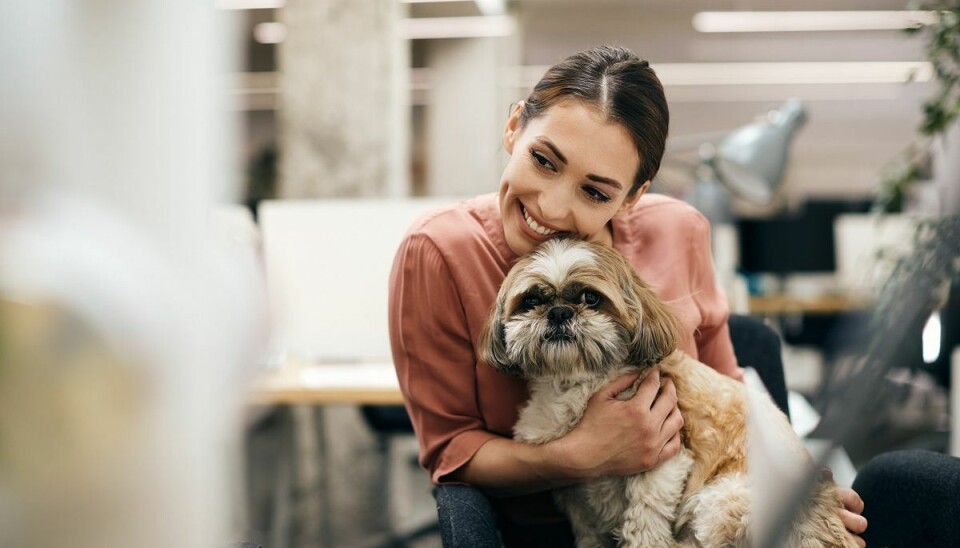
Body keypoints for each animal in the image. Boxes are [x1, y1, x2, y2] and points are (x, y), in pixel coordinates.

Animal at [480, 240, 856, 548]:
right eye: (531, 300)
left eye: (591, 298)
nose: (558, 312)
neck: (578, 383)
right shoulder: (571, 487)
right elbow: (587, 531)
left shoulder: (665, 457)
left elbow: (644, 518)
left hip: (727, 499)